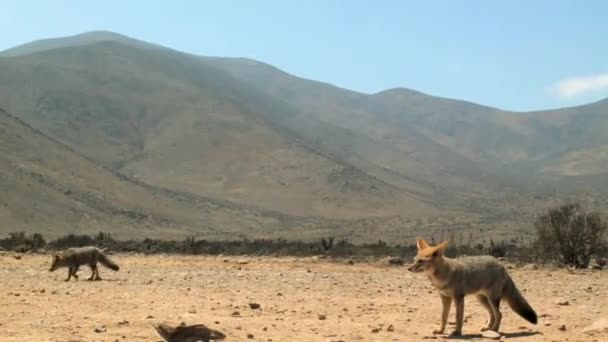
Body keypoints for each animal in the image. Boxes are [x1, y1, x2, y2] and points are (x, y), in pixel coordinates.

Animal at [408, 238, 536, 336]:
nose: (408, 268)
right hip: (481, 299)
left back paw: (494, 329)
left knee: (499, 314)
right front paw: (441, 330)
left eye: (421, 261)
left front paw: (457, 332)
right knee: (492, 314)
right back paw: (488, 327)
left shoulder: (459, 298)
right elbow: (443, 316)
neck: (443, 277)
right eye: (414, 260)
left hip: (492, 299)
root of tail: (500, 264)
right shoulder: (445, 298)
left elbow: (458, 317)